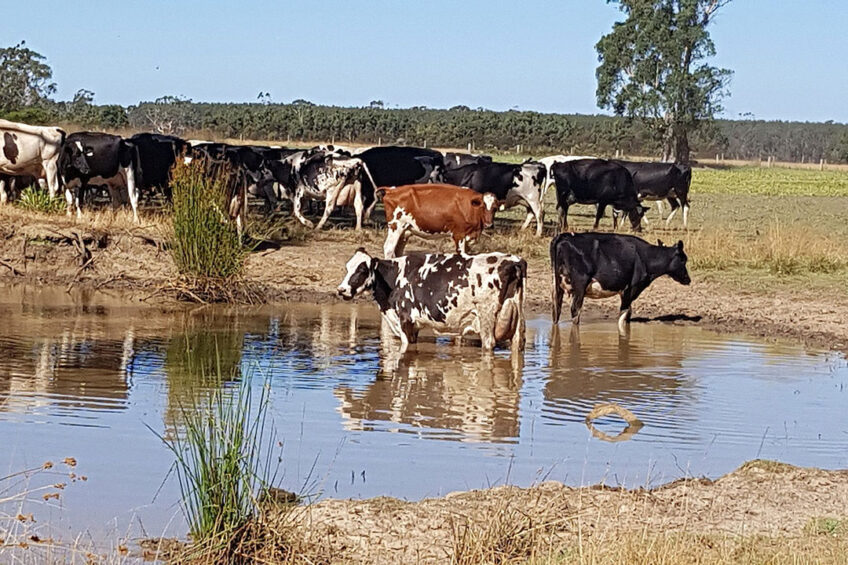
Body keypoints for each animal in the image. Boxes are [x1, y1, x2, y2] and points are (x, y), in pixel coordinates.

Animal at [336, 248, 524, 352]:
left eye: (361, 270)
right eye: (347, 267)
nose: (341, 290)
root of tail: (513, 260)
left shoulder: (405, 322)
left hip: (486, 317)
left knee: (489, 344)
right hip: (517, 323)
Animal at [548, 231, 688, 332]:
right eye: (683, 260)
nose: (688, 279)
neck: (645, 258)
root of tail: (564, 236)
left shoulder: (624, 291)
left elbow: (628, 314)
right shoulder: (631, 288)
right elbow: (623, 315)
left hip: (556, 285)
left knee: (556, 310)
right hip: (580, 285)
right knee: (575, 310)